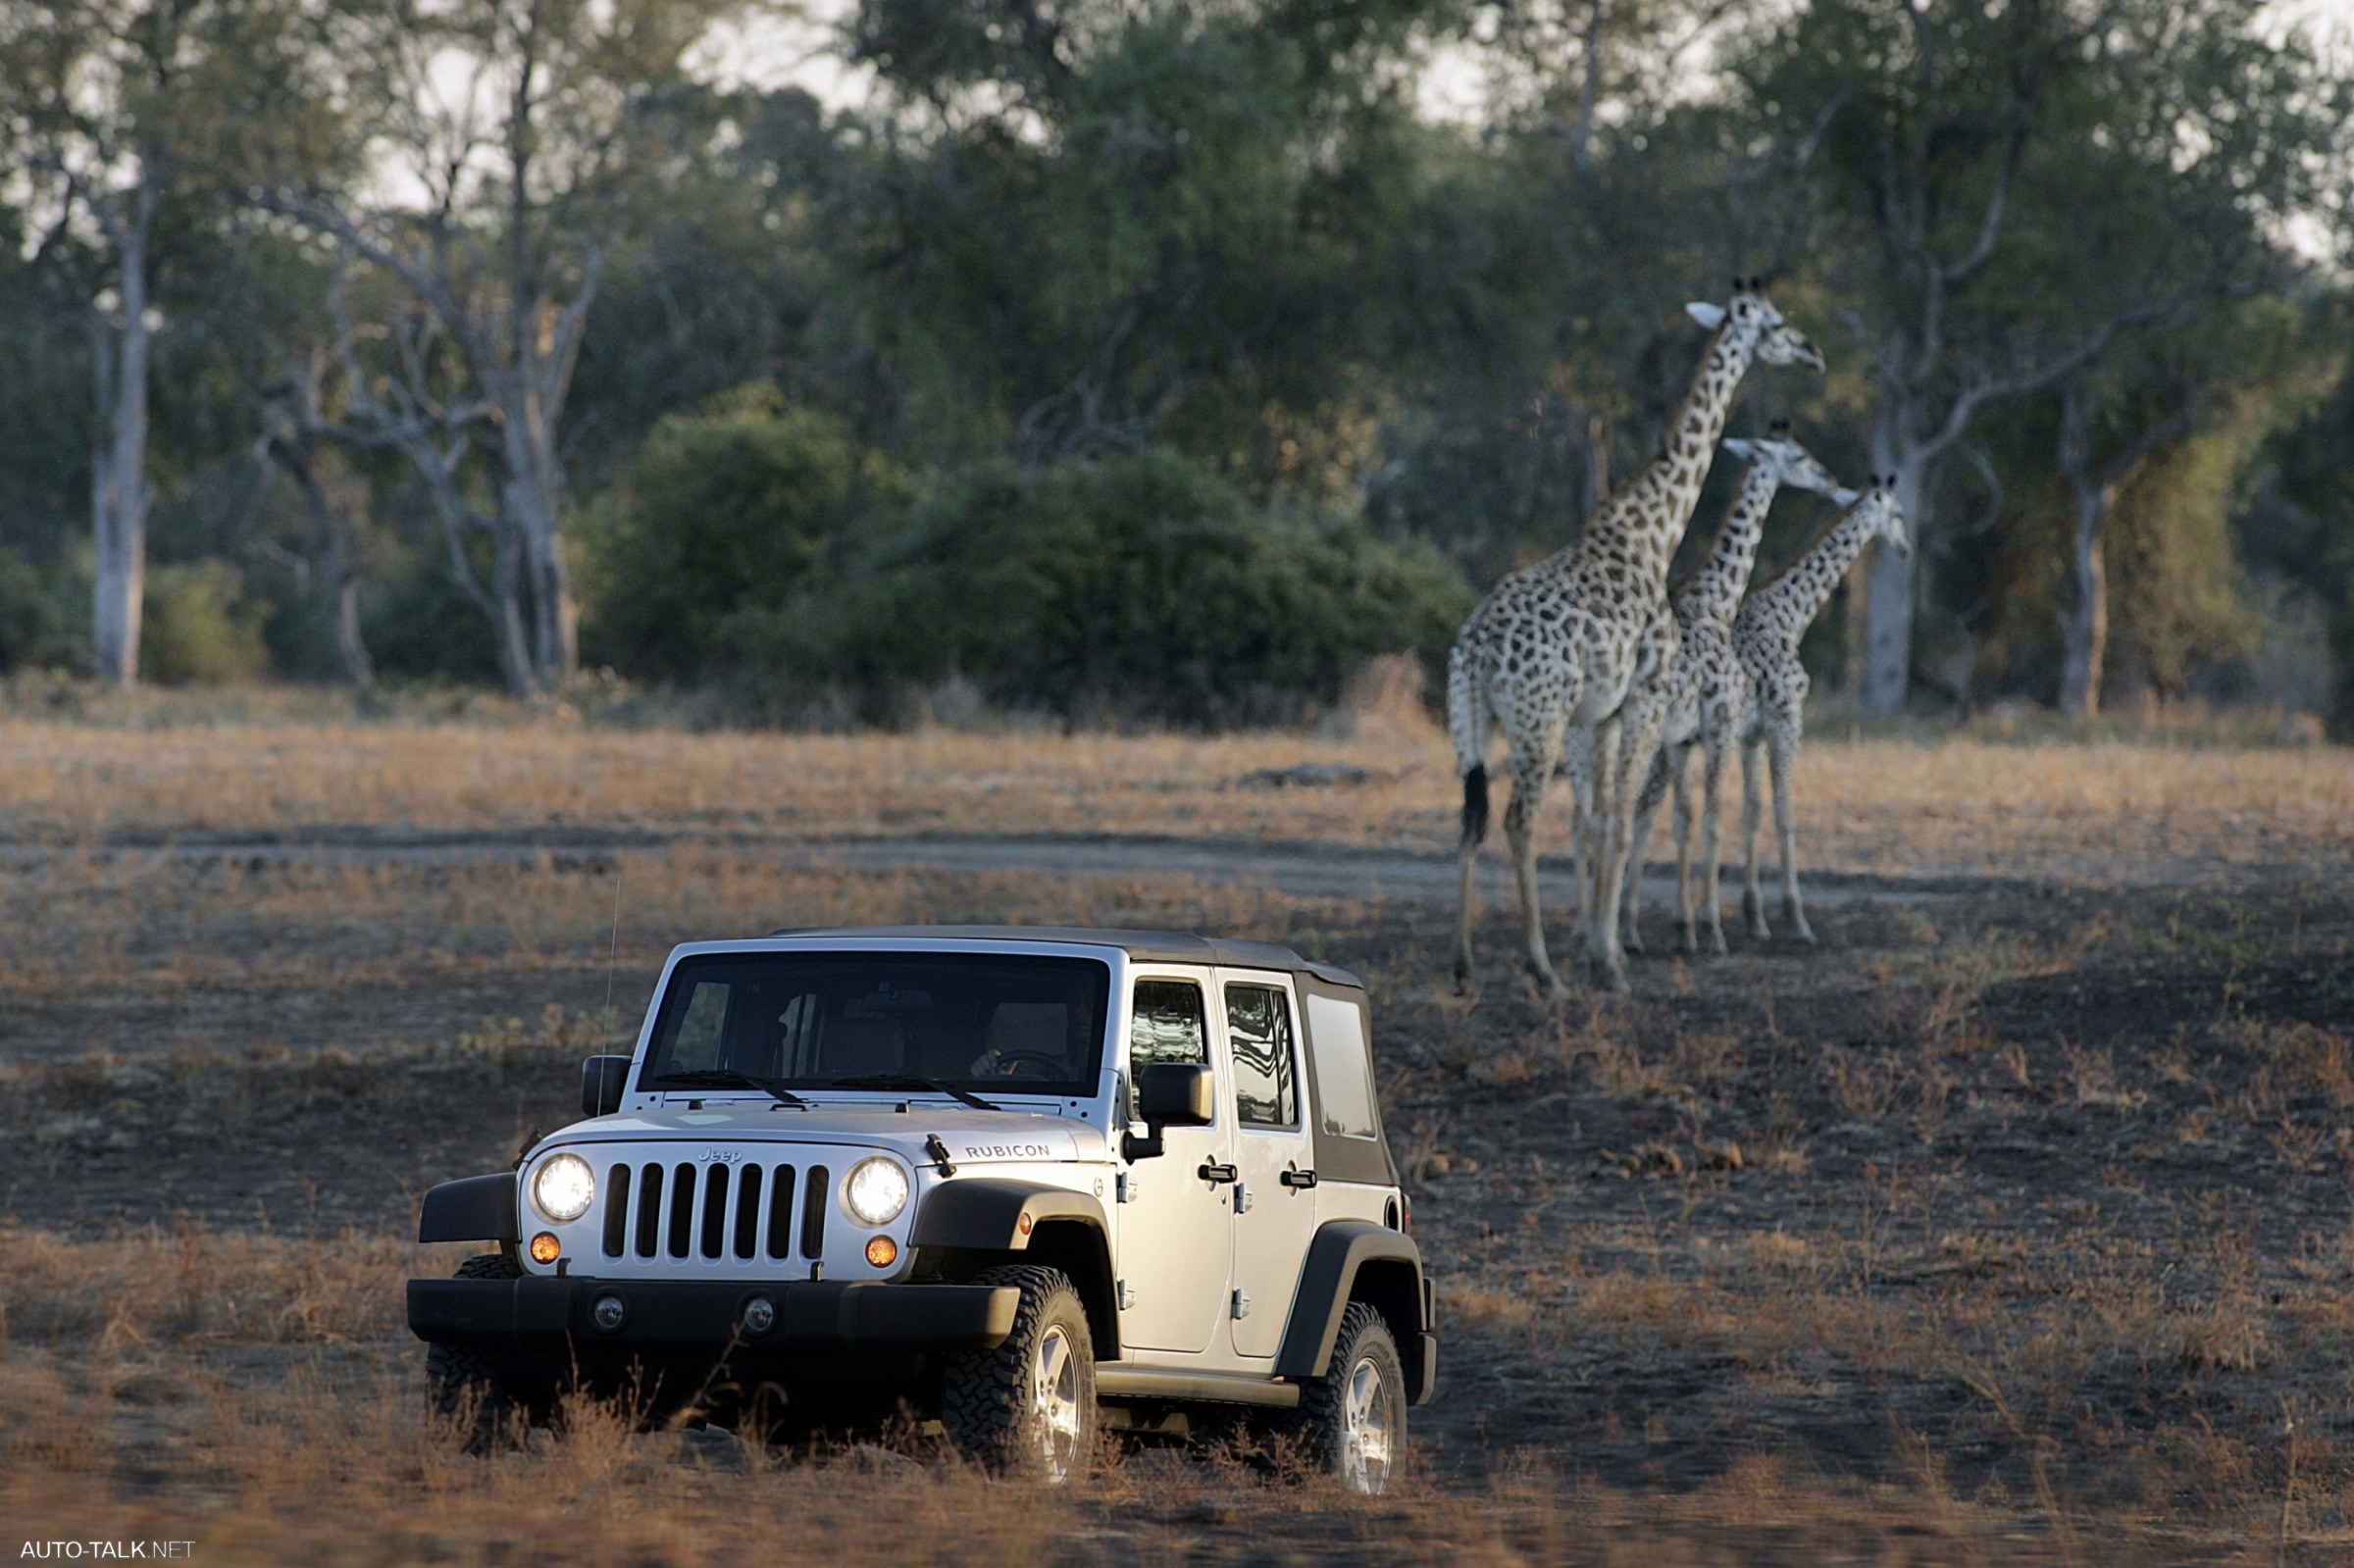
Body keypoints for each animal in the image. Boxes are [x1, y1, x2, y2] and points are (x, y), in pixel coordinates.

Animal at [1450, 278, 1817, 988]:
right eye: (1776, 323)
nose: (1812, 351)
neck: (1652, 534)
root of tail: (1475, 644)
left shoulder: (1605, 714)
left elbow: (1603, 821)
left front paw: (1609, 944)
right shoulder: (1642, 699)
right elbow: (1620, 825)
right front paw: (1608, 958)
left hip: (1473, 719)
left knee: (1472, 817)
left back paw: (1464, 966)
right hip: (1539, 720)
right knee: (1518, 820)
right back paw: (1542, 969)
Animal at [1619, 419, 1855, 950]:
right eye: (1798, 457)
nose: (1832, 480)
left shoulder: (1702, 735)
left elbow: (1699, 817)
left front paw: (1702, 924)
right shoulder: (1745, 723)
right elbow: (1724, 818)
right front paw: (1714, 927)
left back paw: (1620, 931)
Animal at [1732, 473, 1911, 941]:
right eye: (1899, 513)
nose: (1907, 548)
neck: (1789, 615)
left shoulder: (1750, 735)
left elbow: (1752, 813)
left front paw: (1754, 917)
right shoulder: (1786, 721)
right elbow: (1785, 815)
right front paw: (1797, 919)